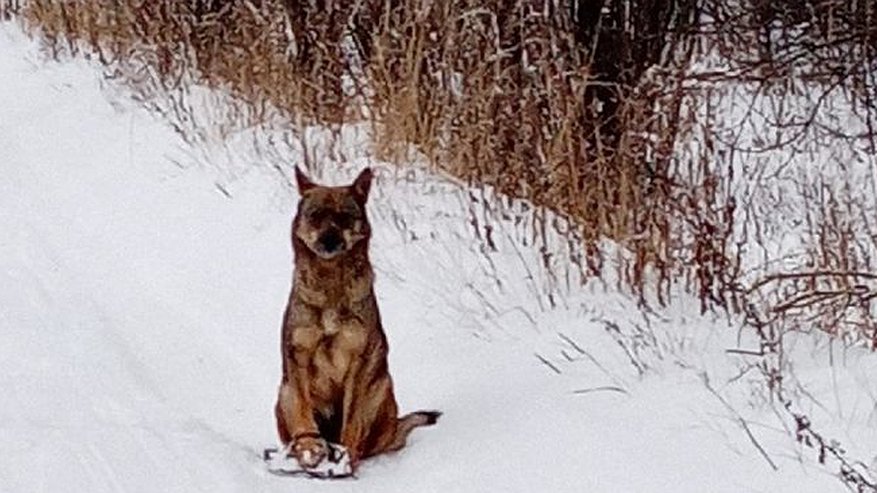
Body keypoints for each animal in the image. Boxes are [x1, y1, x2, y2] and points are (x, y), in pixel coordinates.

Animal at [274, 167, 438, 470]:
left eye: (344, 217)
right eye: (315, 215)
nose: (329, 240)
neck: (330, 284)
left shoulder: (358, 362)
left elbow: (351, 422)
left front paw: (345, 459)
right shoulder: (298, 356)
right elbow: (304, 414)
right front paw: (309, 449)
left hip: (380, 388)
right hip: (283, 392)